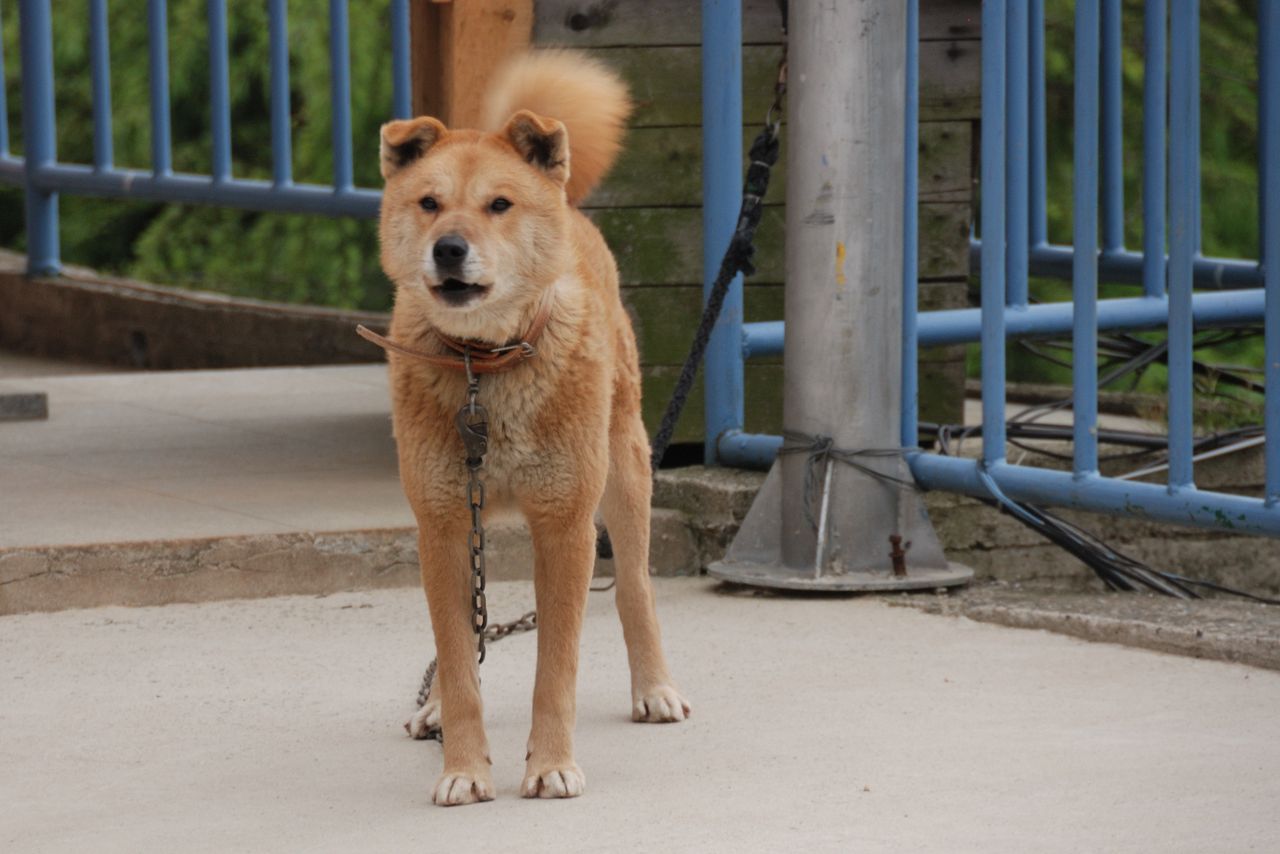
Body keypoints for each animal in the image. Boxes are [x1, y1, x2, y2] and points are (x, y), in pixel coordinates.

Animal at [371, 53, 691, 809]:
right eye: (429, 203)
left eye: (499, 204)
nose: (448, 249)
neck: (485, 366)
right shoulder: (442, 526)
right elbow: (459, 661)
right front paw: (464, 766)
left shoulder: (566, 527)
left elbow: (557, 669)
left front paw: (549, 765)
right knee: (464, 638)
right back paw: (432, 709)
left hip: (625, 470)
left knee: (635, 586)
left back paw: (654, 687)